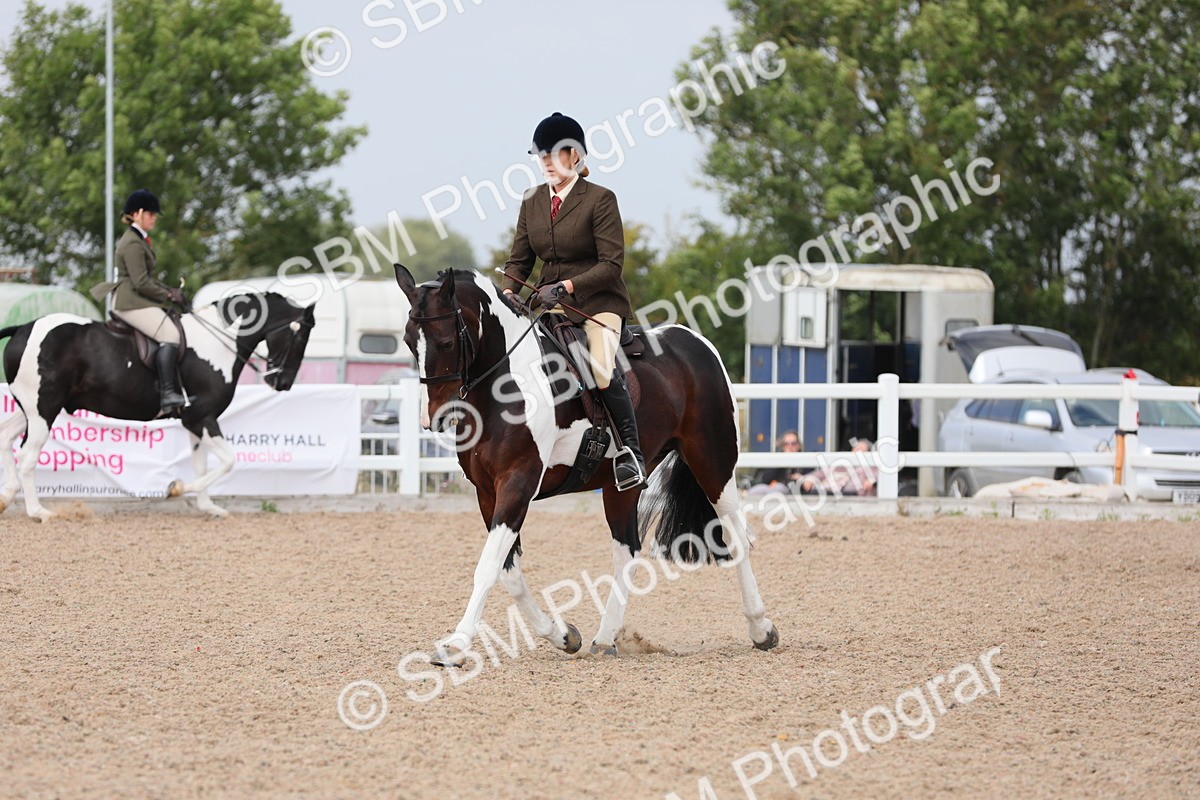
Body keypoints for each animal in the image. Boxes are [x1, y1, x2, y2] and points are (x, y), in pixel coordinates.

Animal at [0, 292, 315, 521]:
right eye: (300, 337)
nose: (283, 383)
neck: (216, 345)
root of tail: (23, 329)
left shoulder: (196, 422)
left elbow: (201, 465)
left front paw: (208, 507)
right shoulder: (201, 416)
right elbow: (228, 460)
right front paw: (176, 489)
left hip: (31, 408)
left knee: (5, 438)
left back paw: (6, 497)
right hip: (44, 408)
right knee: (27, 455)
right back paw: (38, 512)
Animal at [393, 265, 778, 662]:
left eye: (446, 342)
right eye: (408, 341)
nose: (432, 418)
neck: (506, 386)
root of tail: (695, 342)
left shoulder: (518, 483)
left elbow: (487, 568)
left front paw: (456, 643)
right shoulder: (487, 491)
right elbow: (508, 572)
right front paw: (563, 636)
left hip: (713, 462)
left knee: (736, 536)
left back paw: (761, 628)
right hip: (621, 484)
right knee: (627, 549)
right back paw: (605, 638)